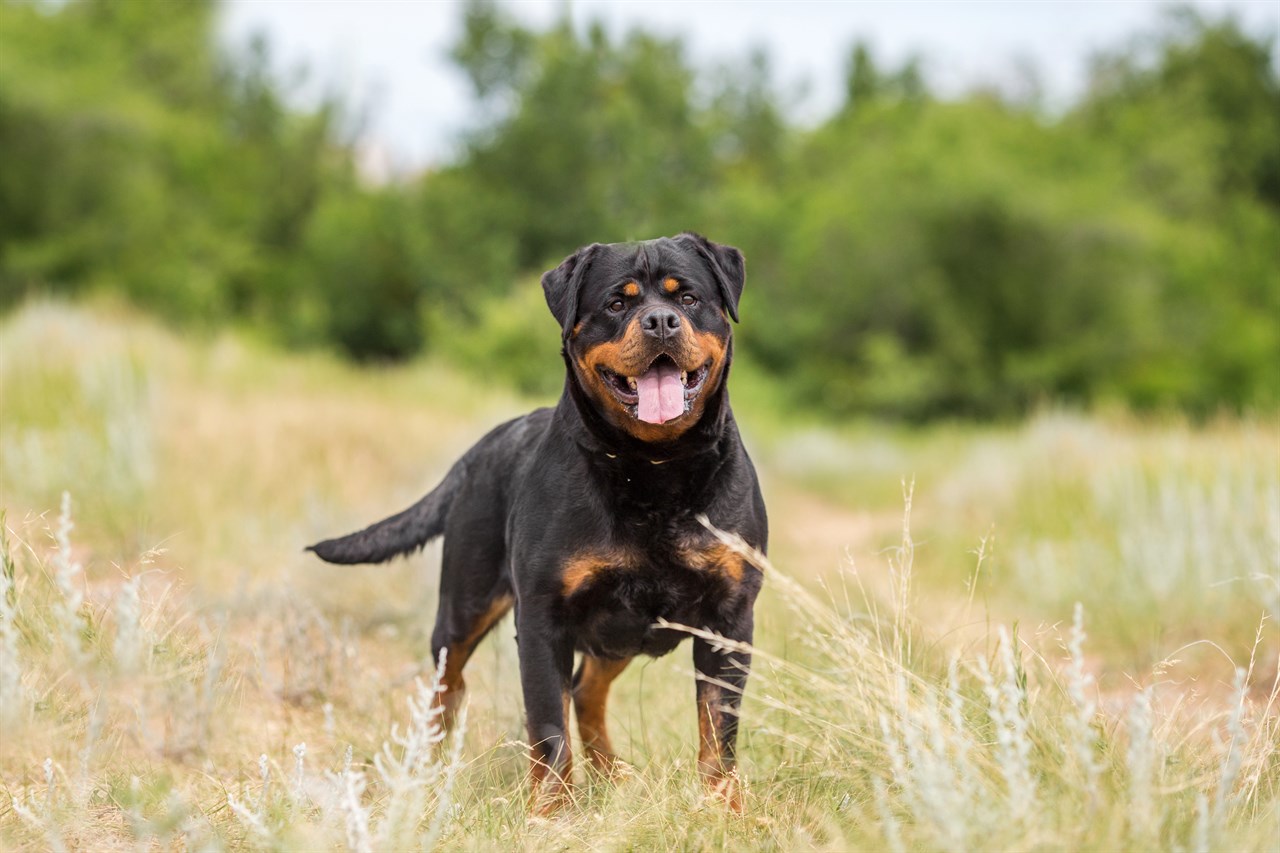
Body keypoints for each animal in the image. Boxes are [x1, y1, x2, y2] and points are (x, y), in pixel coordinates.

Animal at [307, 233, 768, 809]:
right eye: (616, 304)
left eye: (687, 298)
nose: (660, 321)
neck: (653, 467)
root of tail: (480, 449)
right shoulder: (544, 618)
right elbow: (548, 727)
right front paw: (551, 812)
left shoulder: (730, 619)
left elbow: (718, 727)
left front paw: (724, 806)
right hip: (464, 605)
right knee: (448, 686)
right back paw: (430, 771)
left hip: (618, 630)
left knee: (588, 690)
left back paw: (613, 774)